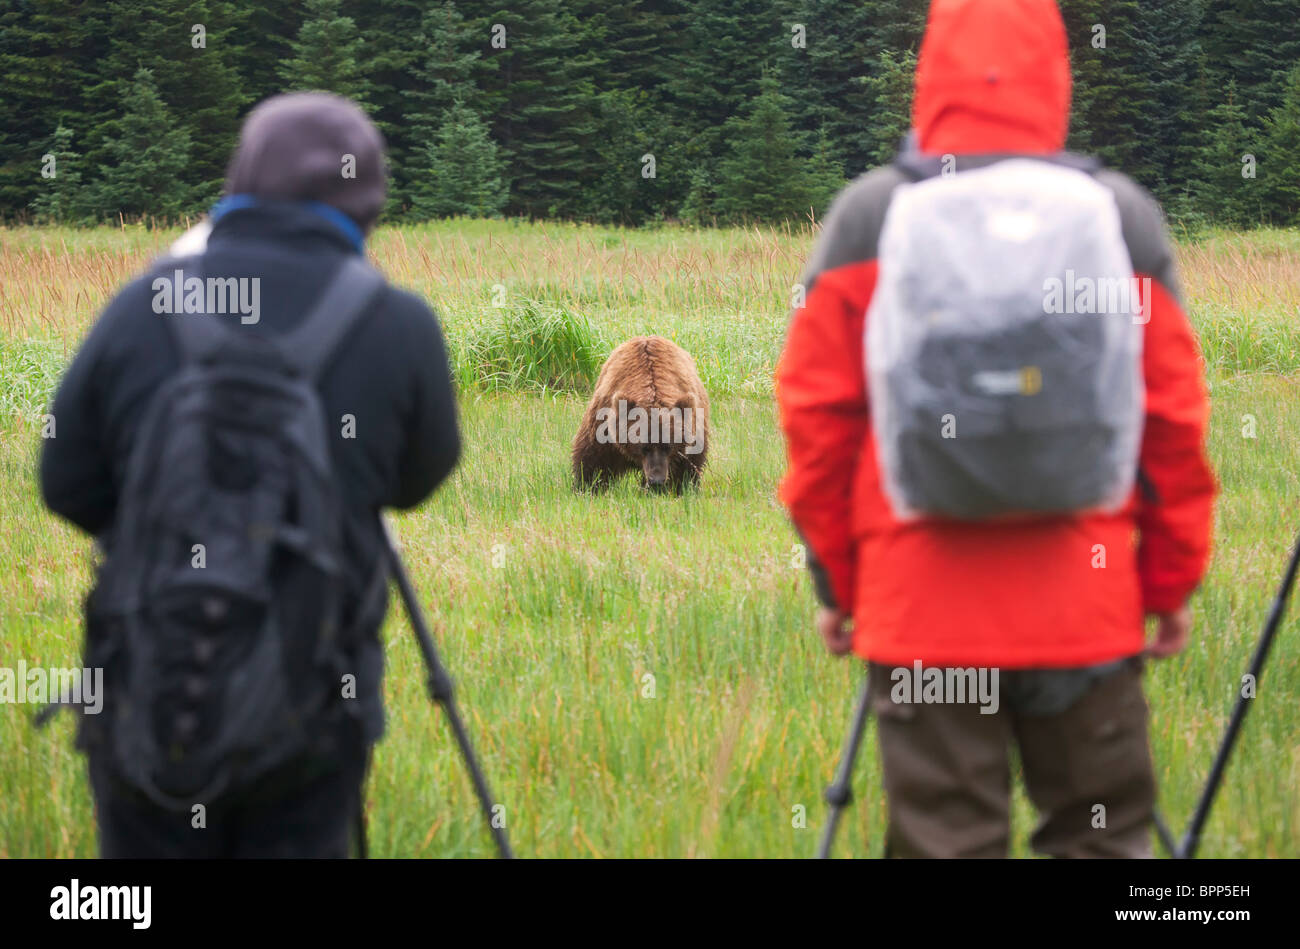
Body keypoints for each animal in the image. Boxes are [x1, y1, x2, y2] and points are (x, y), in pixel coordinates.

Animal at [569, 335, 712, 491]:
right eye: (644, 447)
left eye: (667, 446)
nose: (656, 481)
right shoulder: (604, 423)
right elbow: (593, 459)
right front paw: (587, 486)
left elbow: (687, 467)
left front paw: (681, 488)